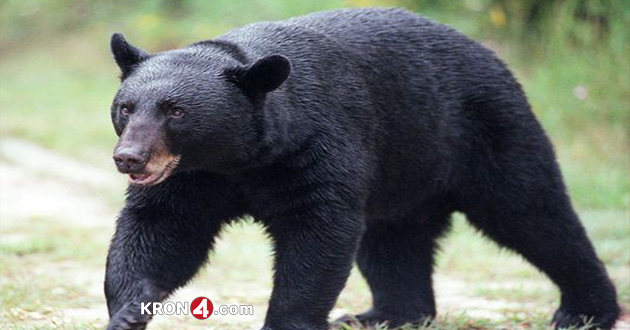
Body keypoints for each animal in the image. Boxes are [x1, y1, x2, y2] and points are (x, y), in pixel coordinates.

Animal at [105, 7, 624, 330]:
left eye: (176, 112)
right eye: (126, 107)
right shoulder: (192, 180)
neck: (240, 159)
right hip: (402, 176)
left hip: (487, 133)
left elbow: (319, 233)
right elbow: (161, 230)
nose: (129, 157)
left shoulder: (319, 146)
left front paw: (288, 320)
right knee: (391, 241)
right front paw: (130, 310)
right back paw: (385, 314)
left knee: (533, 214)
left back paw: (586, 311)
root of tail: (493, 56)